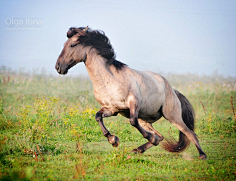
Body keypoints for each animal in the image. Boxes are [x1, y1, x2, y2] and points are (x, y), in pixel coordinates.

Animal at [55, 26, 206, 159]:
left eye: (72, 45)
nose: (58, 67)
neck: (109, 80)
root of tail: (172, 91)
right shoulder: (112, 109)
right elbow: (98, 117)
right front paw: (113, 140)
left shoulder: (133, 103)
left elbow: (133, 121)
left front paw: (146, 138)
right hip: (145, 119)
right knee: (161, 136)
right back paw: (138, 149)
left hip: (172, 116)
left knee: (190, 133)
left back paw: (202, 155)